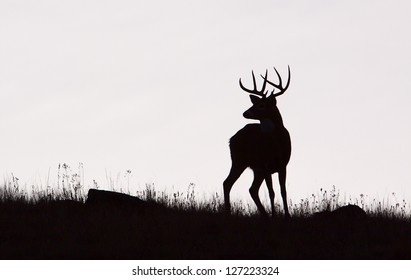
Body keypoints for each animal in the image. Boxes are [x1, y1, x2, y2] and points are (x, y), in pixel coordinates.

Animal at [224, 66, 292, 219]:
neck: (277, 145)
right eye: (253, 103)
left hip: (256, 169)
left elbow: (283, 191)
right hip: (239, 160)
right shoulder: (266, 165)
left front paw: (287, 216)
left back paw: (264, 214)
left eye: (261, 105)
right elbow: (272, 192)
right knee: (227, 183)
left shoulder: (283, 165)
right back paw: (228, 213)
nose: (245, 113)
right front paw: (274, 216)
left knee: (252, 189)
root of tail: (231, 139)